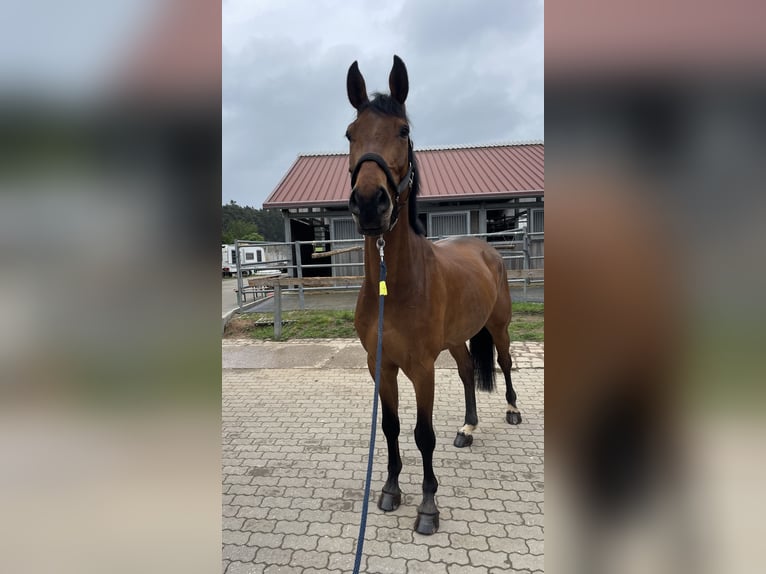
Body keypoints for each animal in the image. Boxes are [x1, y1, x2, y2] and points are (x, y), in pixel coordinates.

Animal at [346, 56, 520, 536]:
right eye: (350, 133)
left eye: (403, 130)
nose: (370, 203)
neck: (395, 286)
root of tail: (486, 249)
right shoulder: (381, 366)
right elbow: (390, 427)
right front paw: (390, 490)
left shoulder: (422, 368)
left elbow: (423, 434)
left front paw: (428, 506)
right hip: (458, 340)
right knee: (466, 373)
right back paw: (468, 427)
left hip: (498, 327)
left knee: (503, 363)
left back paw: (513, 411)